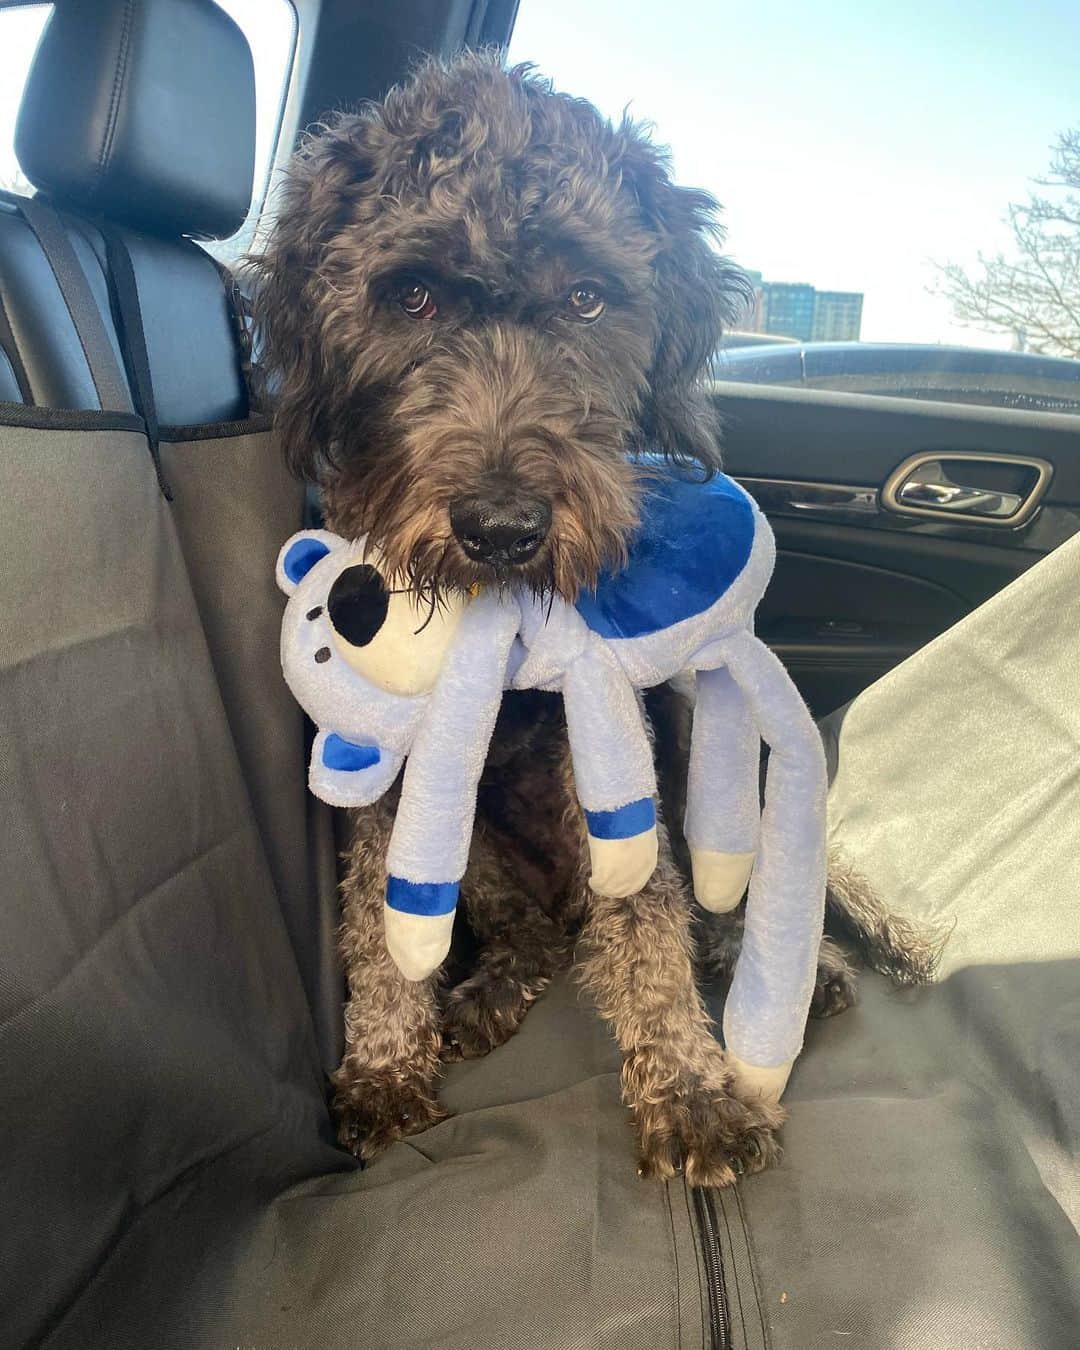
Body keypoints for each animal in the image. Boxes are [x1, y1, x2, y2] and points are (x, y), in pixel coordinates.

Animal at [248, 52, 934, 1182]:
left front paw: (690, 1091)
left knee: (733, 885)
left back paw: (811, 955)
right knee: (540, 934)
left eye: (586, 299)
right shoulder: (387, 754)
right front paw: (385, 1063)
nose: (503, 530)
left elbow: (649, 921)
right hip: (495, 859)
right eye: (411, 297)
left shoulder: (609, 737)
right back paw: (483, 996)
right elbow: (375, 923)